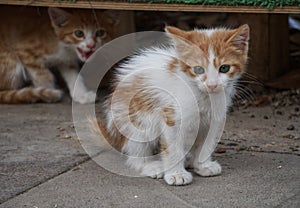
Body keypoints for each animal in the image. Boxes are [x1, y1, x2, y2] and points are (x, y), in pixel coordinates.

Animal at [92, 24, 250, 185]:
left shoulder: (214, 119)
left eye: (224, 68)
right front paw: (176, 174)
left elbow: (207, 143)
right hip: (135, 120)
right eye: (198, 69)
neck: (203, 96)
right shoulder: (172, 116)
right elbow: (172, 148)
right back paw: (150, 165)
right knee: (135, 151)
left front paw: (203, 165)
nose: (212, 85)